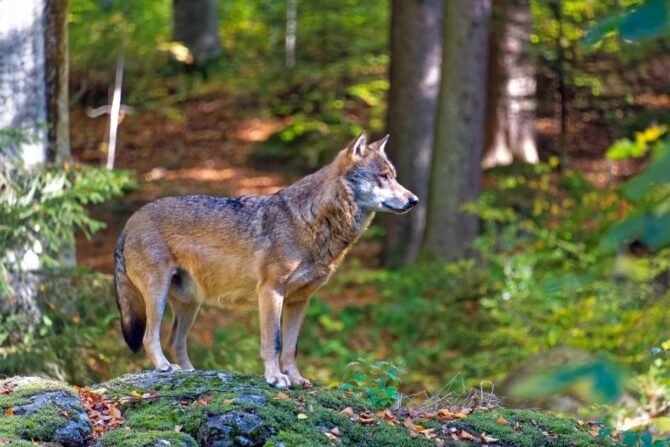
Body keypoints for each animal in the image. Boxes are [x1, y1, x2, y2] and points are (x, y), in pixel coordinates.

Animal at [114, 133, 418, 388]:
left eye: (394, 177)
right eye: (383, 177)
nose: (414, 199)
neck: (313, 220)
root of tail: (130, 221)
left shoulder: (300, 301)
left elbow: (292, 347)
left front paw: (295, 378)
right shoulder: (271, 292)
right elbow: (274, 342)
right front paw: (275, 378)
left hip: (190, 304)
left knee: (175, 340)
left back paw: (190, 373)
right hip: (159, 294)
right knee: (150, 337)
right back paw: (164, 367)